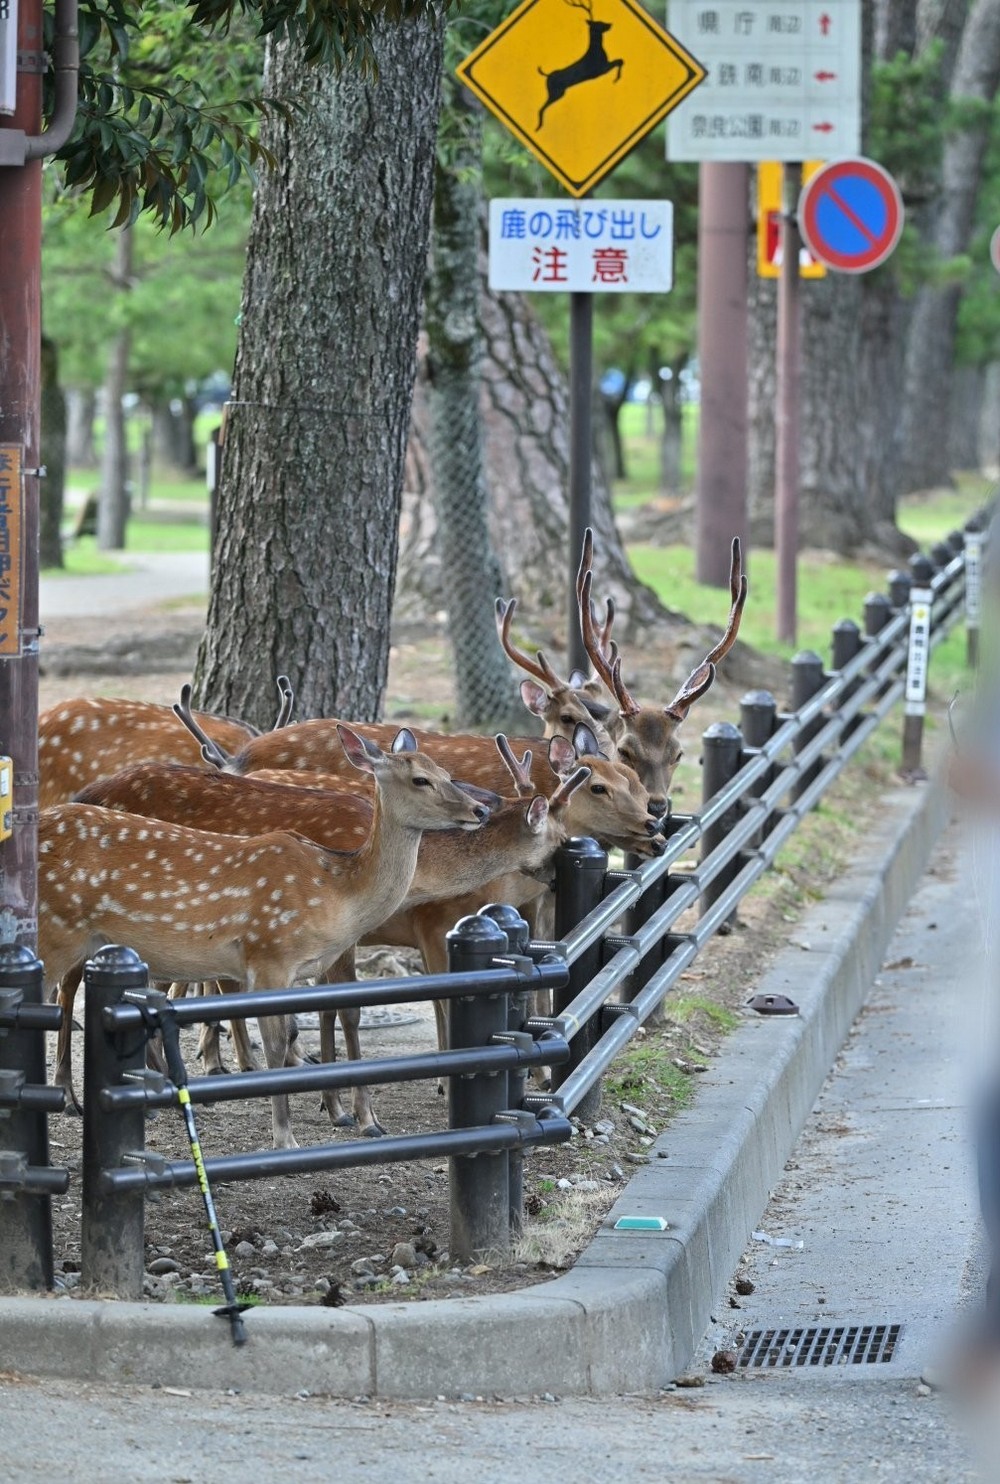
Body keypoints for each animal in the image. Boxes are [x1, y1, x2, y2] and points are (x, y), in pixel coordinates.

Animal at [40, 724, 483, 1151]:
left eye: (447, 772)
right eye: (421, 779)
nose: (479, 809)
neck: (336, 893)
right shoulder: (271, 953)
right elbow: (276, 1045)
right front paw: (286, 1138)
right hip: (56, 932)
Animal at [534, 0, 620, 132]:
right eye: (599, 24)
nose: (610, 24)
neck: (597, 51)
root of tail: (547, 76)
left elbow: (620, 61)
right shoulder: (601, 69)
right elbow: (620, 61)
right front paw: (616, 79)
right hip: (556, 92)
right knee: (541, 107)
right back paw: (539, 127)